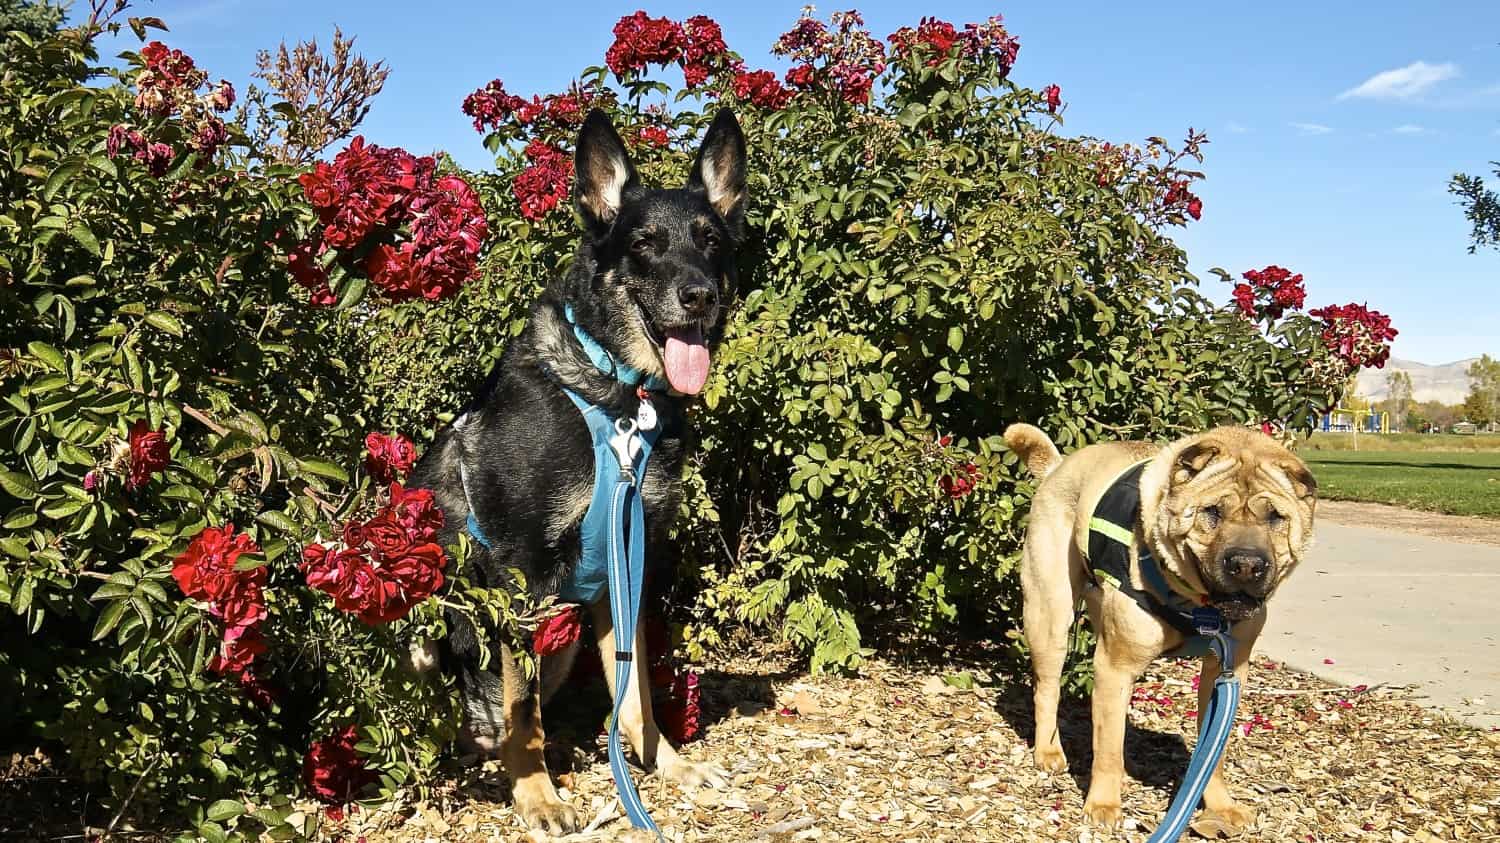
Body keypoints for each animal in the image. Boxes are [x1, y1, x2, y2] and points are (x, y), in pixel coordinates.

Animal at [411, 106, 744, 828]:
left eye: (710, 241)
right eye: (643, 243)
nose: (699, 296)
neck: (616, 394)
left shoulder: (629, 565)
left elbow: (636, 688)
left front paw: (662, 762)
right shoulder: (516, 572)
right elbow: (521, 709)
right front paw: (537, 793)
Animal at [1008, 423, 1314, 828]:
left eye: (1275, 517)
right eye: (1213, 512)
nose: (1247, 564)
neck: (1201, 609)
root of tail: (1058, 466)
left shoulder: (1226, 673)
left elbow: (1214, 749)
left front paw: (1220, 805)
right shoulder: (1115, 666)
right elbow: (1107, 749)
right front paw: (1103, 805)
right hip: (1050, 612)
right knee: (1048, 689)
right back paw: (1048, 752)